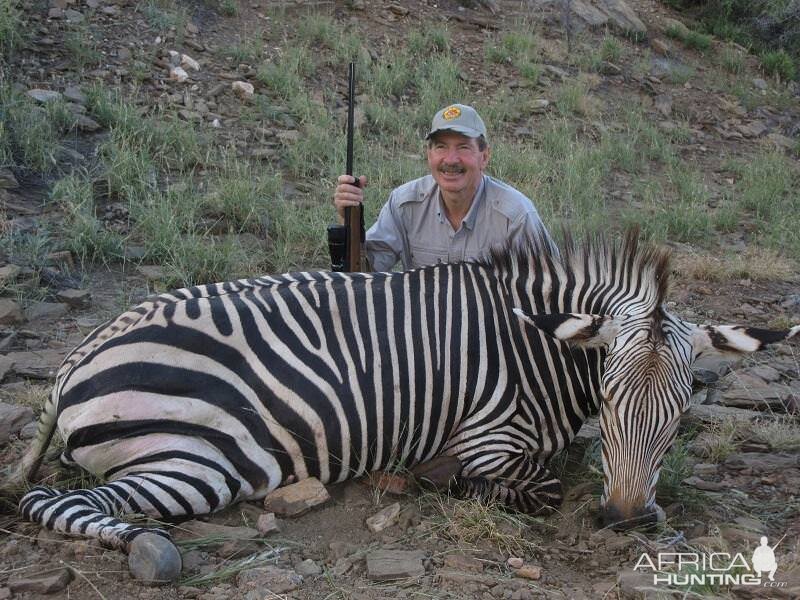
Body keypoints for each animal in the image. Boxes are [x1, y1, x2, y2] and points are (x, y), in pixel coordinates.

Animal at [7, 230, 800, 580]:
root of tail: (73, 360)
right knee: (56, 501)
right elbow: (538, 487)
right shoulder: (488, 439)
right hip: (199, 462)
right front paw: (439, 481)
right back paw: (148, 549)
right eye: (605, 397)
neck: (533, 346)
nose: (627, 520)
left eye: (682, 410)